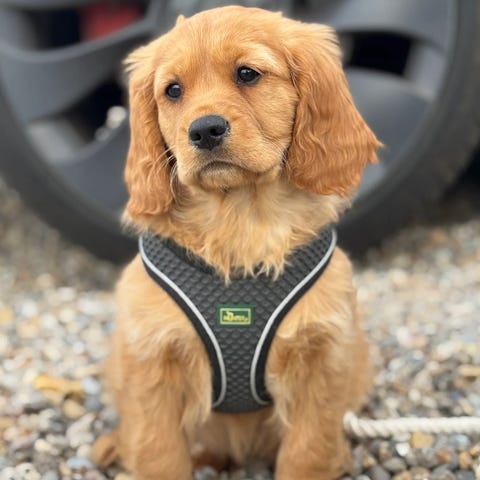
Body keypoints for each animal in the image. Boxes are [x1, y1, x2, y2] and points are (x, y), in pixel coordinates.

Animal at [93, 6, 380, 480]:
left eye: (247, 74)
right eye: (173, 90)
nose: (204, 130)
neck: (240, 221)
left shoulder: (321, 359)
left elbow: (308, 451)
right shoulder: (152, 361)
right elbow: (158, 451)